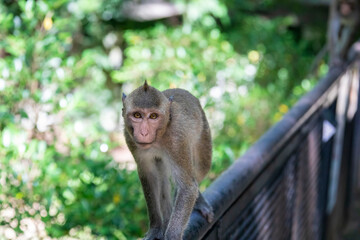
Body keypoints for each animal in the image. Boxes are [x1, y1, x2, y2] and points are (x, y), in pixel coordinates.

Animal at [122, 81, 214, 239]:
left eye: (153, 116)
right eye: (137, 115)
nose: (144, 133)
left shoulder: (176, 139)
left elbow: (188, 187)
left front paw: (172, 235)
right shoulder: (130, 138)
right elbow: (150, 178)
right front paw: (155, 228)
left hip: (203, 132)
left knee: (201, 169)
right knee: (162, 176)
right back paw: (165, 222)